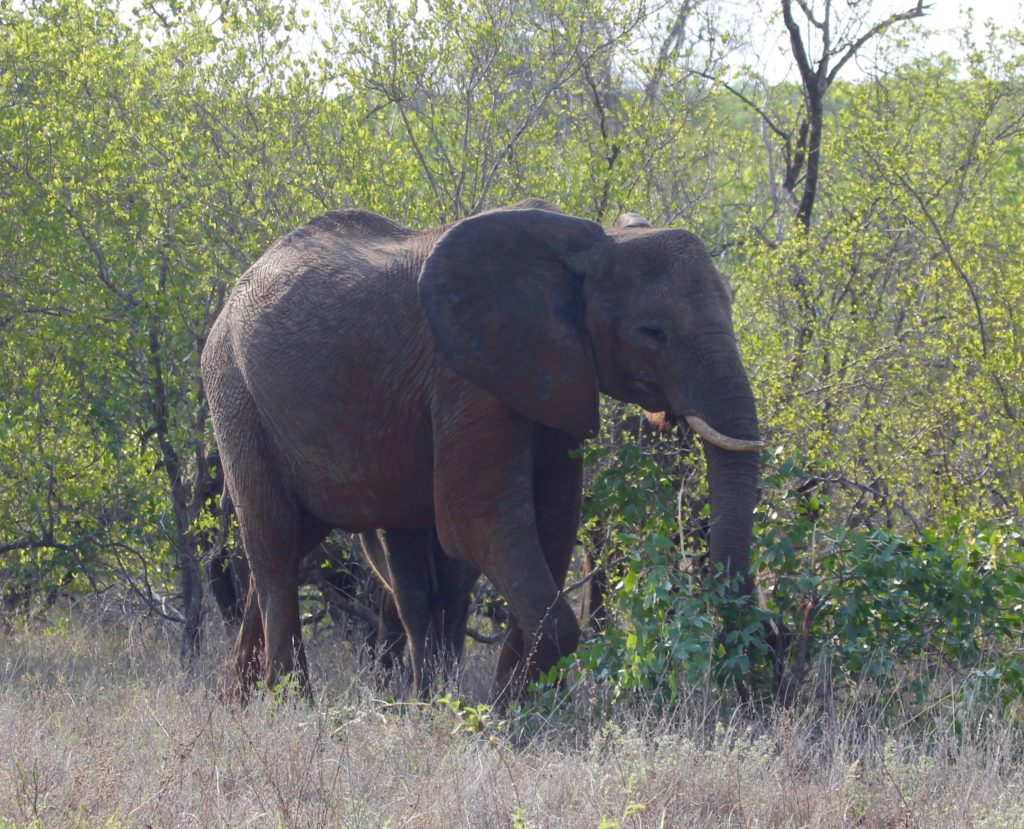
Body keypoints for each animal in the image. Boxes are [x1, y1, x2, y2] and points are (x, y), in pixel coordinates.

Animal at [201, 198, 761, 695]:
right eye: (653, 332)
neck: (591, 244)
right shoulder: (466, 380)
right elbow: (479, 523)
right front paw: (504, 719)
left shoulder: (555, 373)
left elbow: (556, 522)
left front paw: (518, 706)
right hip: (236, 395)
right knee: (274, 547)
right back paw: (292, 704)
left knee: (298, 547)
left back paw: (242, 703)